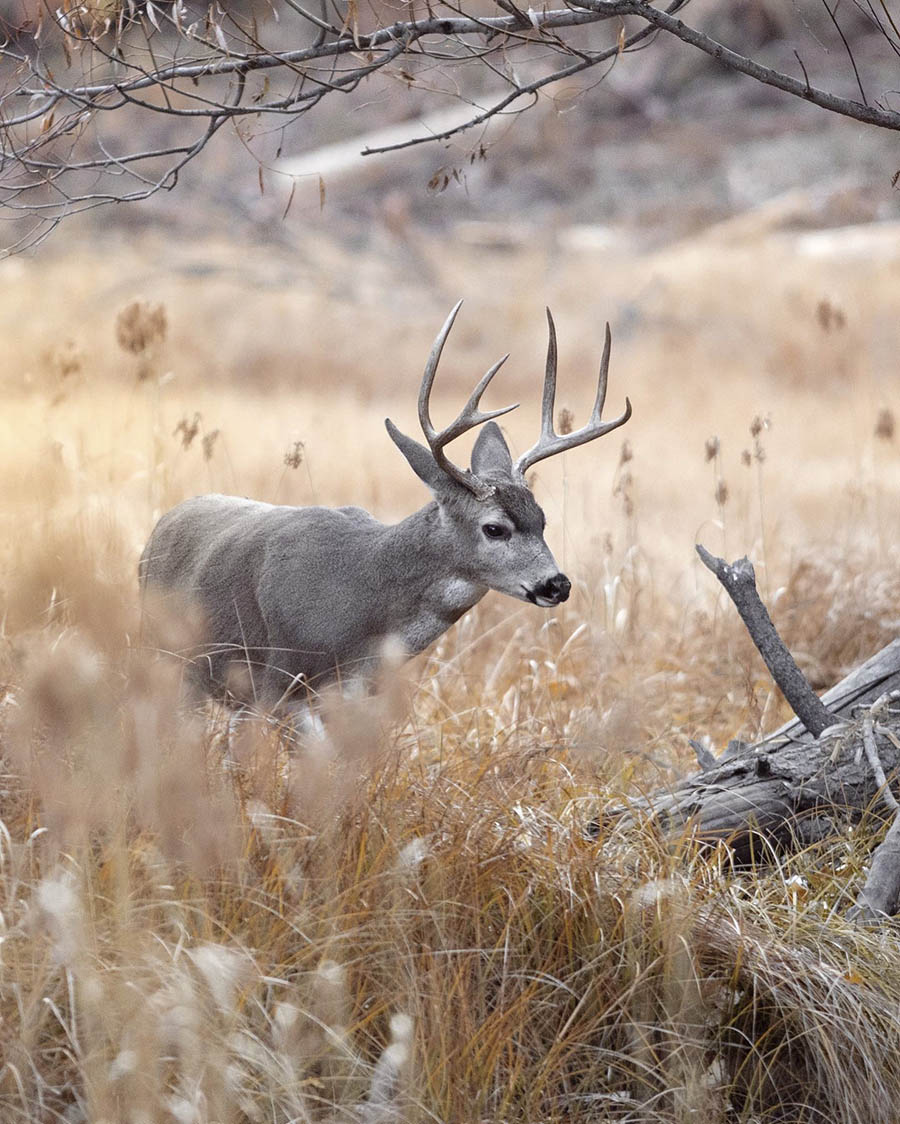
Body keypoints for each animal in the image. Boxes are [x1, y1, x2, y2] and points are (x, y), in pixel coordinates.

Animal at [140, 301, 633, 719]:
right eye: (495, 528)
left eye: (543, 520)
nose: (557, 584)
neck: (364, 598)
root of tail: (157, 529)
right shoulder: (276, 682)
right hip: (175, 661)